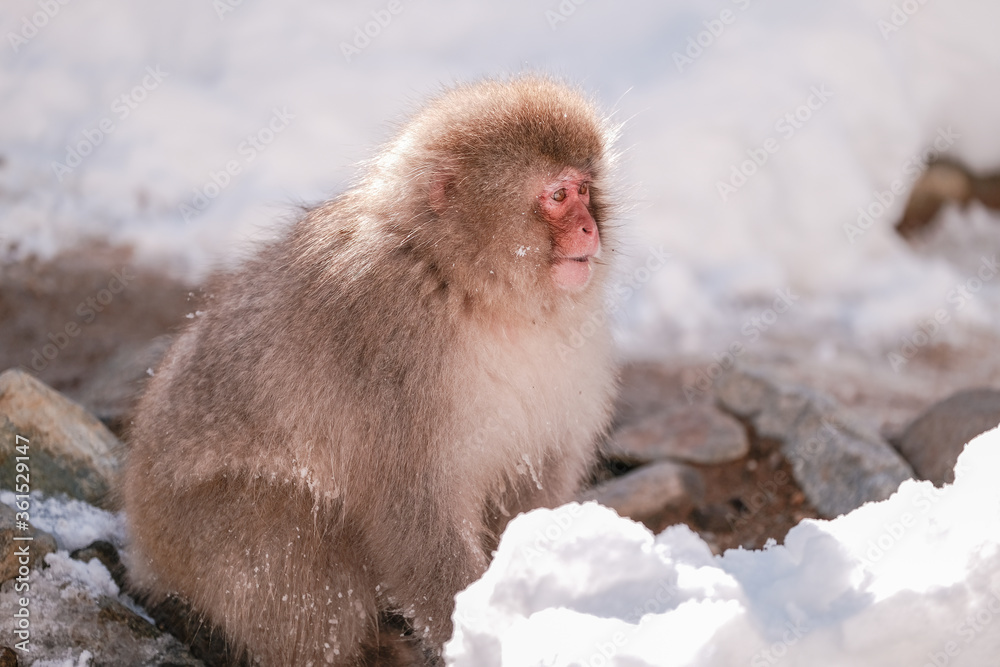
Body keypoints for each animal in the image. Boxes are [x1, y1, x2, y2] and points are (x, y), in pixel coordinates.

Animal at [123, 74, 621, 666]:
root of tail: (145, 546)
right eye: (558, 196)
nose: (589, 229)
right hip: (198, 539)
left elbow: (532, 491)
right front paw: (486, 637)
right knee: (293, 541)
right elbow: (411, 518)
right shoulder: (393, 358)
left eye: (586, 189)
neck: (468, 287)